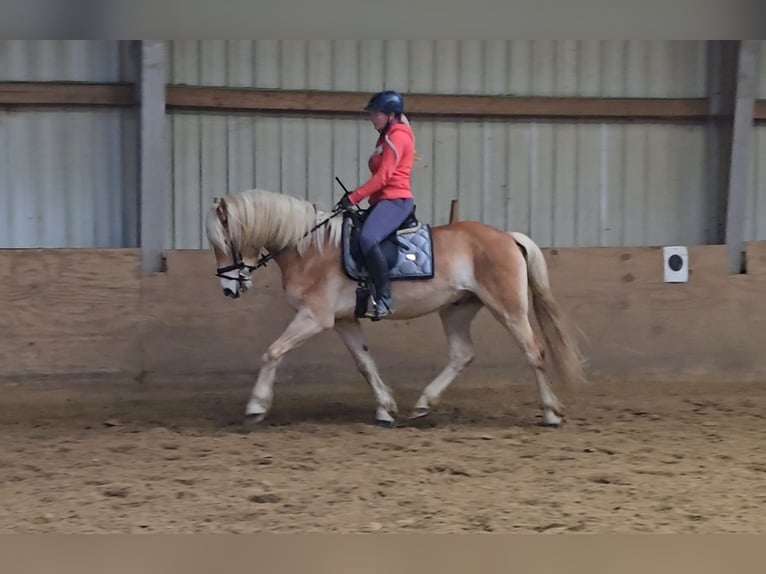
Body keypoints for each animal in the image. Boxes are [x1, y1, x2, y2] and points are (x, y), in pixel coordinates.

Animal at [206, 189, 588, 428]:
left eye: (225, 241)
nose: (227, 288)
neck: (310, 247)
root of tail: (508, 236)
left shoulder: (314, 317)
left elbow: (273, 352)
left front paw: (256, 407)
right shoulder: (343, 321)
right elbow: (365, 364)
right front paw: (385, 410)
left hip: (508, 308)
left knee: (534, 352)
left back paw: (551, 414)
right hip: (457, 309)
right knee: (462, 354)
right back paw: (423, 404)